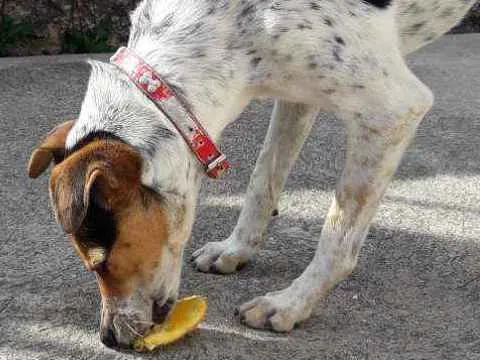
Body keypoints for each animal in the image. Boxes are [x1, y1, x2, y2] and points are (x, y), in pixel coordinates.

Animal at [29, 0, 476, 348]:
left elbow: (338, 235)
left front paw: (291, 304)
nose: (109, 340)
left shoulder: (392, 112)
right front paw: (236, 249)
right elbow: (264, 176)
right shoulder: (296, 93)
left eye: (100, 263)